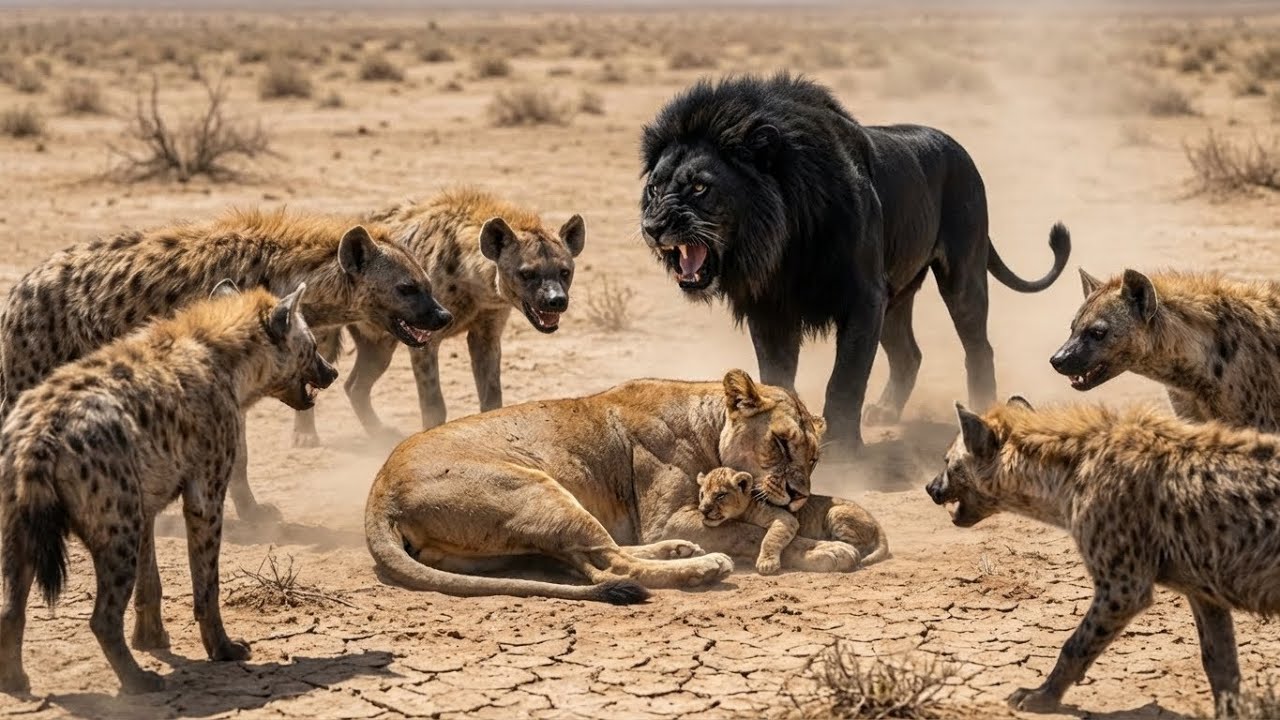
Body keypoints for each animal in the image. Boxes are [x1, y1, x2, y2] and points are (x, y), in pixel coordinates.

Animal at [365, 370, 858, 602]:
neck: (705, 422)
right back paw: (702, 566)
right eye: (781, 442)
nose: (799, 494)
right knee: (614, 567)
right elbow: (753, 532)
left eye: (814, 458)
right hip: (538, 489)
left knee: (597, 563)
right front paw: (825, 550)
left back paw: (680, 552)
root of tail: (379, 490)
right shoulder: (673, 517)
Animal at [639, 73, 1070, 453]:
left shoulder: (863, 298)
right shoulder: (770, 308)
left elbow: (845, 380)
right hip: (896, 296)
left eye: (700, 186)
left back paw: (982, 409)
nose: (651, 227)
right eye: (654, 188)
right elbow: (776, 377)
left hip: (962, 274)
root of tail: (958, 148)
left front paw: (842, 451)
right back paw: (886, 411)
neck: (784, 242)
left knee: (979, 346)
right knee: (909, 354)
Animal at [697, 467, 889, 575]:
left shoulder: (785, 518)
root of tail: (874, 519)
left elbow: (771, 538)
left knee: (860, 547)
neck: (741, 513)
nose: (703, 510)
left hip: (836, 511)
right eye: (702, 494)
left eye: (720, 495)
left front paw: (767, 563)